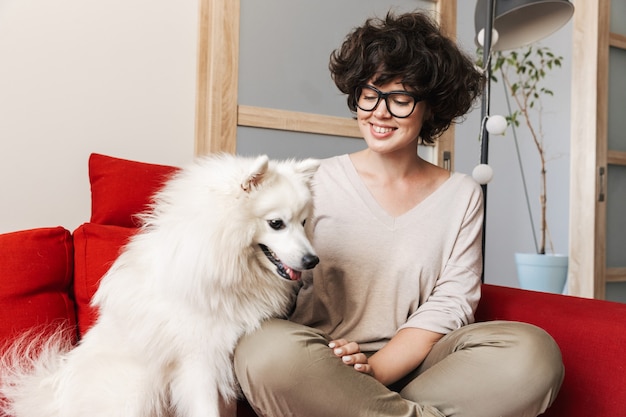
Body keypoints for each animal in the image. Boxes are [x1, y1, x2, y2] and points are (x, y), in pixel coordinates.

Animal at [0, 153, 320, 416]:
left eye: (304, 222)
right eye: (276, 223)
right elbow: (206, 409)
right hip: (137, 387)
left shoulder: (223, 356)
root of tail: (52, 397)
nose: (312, 260)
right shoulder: (198, 358)